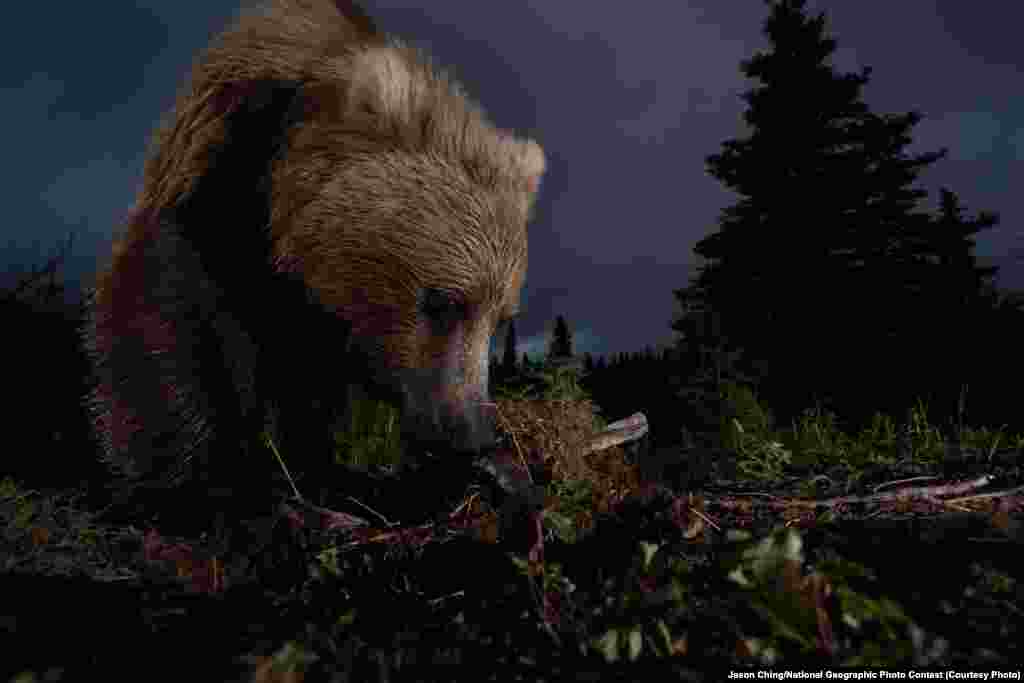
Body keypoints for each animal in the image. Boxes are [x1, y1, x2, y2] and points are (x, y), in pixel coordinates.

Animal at [81, 0, 544, 528]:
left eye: (502, 319)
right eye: (445, 301)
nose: (473, 431)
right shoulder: (213, 201)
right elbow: (173, 336)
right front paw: (194, 489)